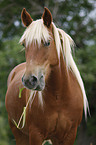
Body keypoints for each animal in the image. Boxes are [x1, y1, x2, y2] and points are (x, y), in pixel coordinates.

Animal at [5, 7, 89, 145]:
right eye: (24, 44)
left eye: (47, 43)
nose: (29, 80)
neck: (59, 97)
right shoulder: (36, 134)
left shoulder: (69, 135)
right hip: (19, 134)